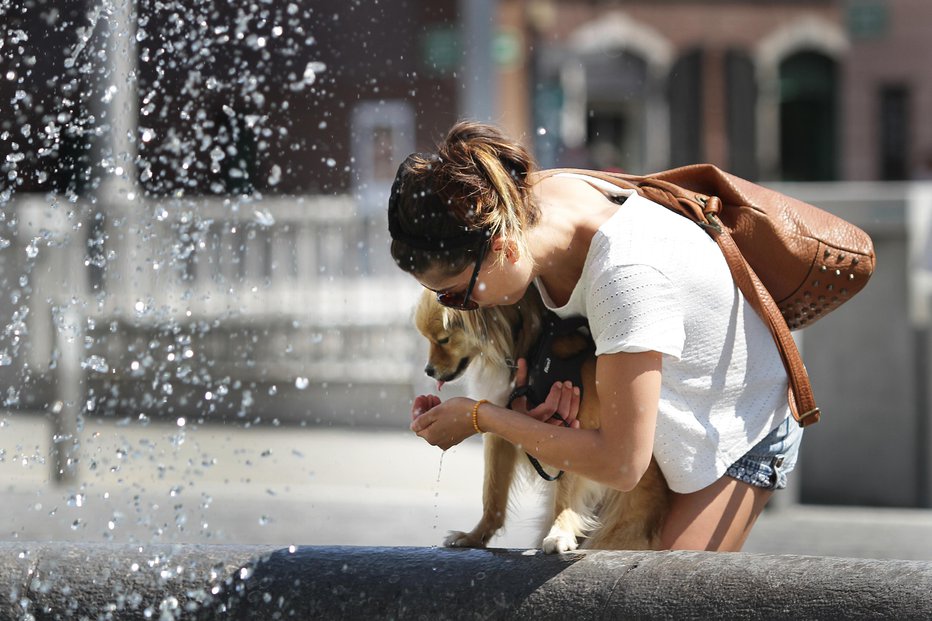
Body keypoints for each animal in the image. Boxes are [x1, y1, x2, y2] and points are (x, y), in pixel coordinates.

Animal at [416, 286, 668, 552]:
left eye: (443, 340)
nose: (428, 370)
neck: (530, 348)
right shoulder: (500, 430)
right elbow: (492, 494)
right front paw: (475, 536)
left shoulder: (576, 430)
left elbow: (564, 497)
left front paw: (560, 533)